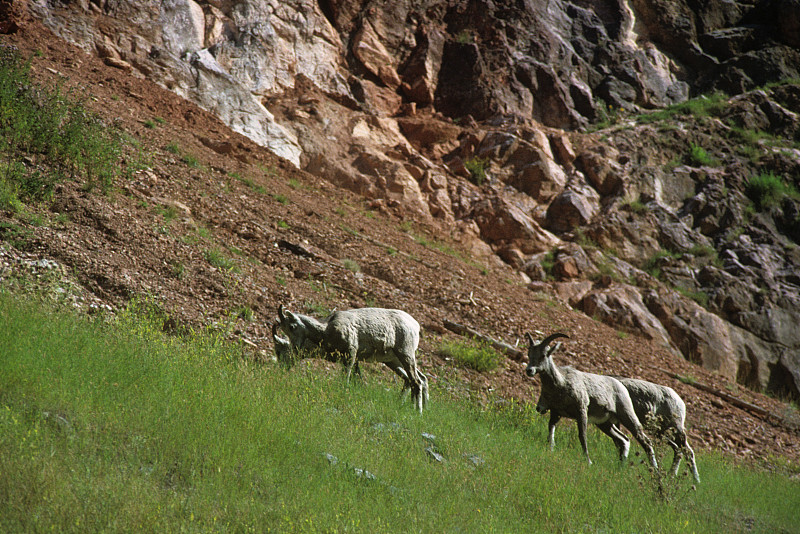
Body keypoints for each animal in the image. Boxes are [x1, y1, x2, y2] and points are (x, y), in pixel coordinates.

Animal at [276, 306, 432, 414]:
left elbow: (347, 377)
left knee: (416, 381)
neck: (327, 329)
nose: (295, 348)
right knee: (419, 379)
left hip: (405, 355)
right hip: (394, 360)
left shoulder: (351, 354)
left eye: (292, 326)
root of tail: (415, 325)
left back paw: (418, 412)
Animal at [524, 332, 656, 472]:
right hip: (605, 424)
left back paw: (655, 471)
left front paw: (588, 462)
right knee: (623, 440)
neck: (562, 383)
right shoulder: (555, 413)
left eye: (543, 355)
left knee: (646, 442)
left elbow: (582, 436)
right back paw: (620, 467)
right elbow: (551, 431)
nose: (529, 370)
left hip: (627, 417)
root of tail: (621, 386)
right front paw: (551, 450)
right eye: (529, 354)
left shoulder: (581, 412)